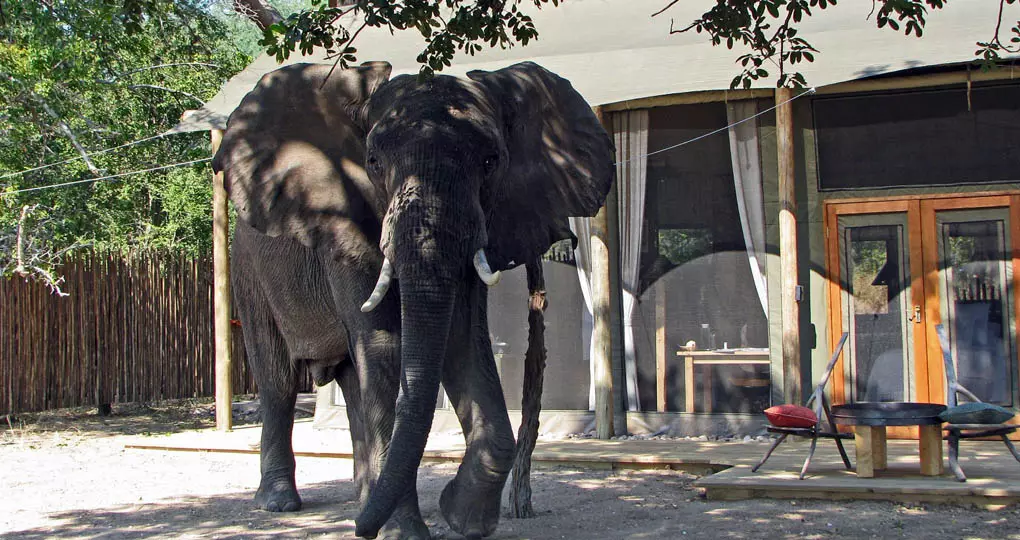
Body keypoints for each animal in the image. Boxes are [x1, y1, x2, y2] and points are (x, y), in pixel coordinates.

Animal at [212, 60, 614, 539]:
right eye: (373, 162)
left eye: (491, 161)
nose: (359, 531)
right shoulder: (346, 229)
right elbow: (383, 342)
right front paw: (402, 532)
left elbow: (461, 340)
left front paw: (461, 517)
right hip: (248, 269)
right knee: (277, 378)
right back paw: (281, 503)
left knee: (352, 381)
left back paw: (362, 498)